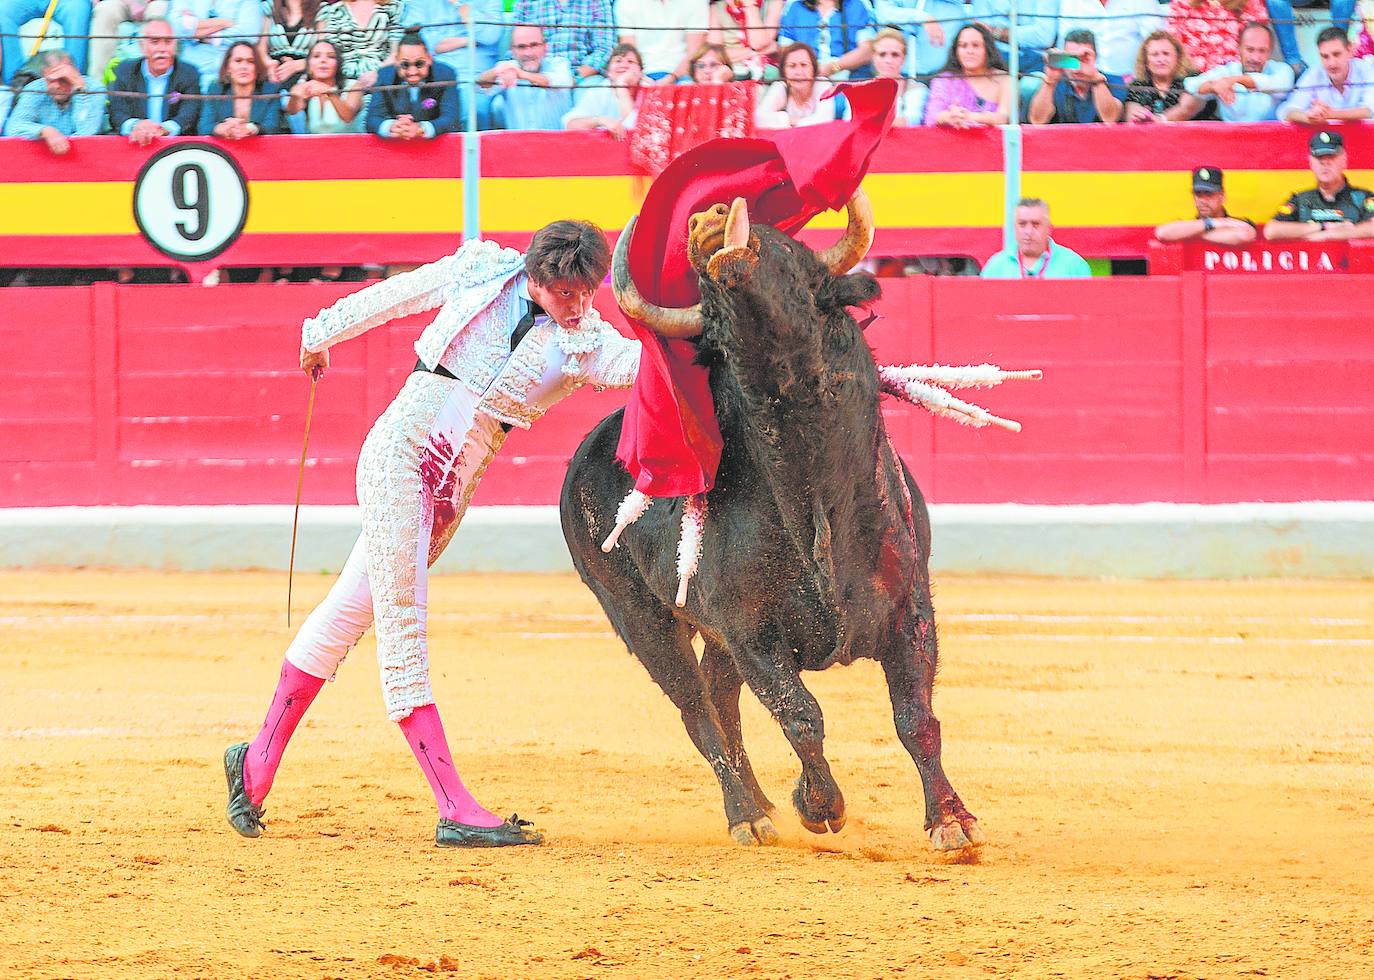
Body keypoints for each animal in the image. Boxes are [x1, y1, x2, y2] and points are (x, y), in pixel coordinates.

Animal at [560, 192, 989, 846]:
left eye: (797, 259)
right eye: (710, 313)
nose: (707, 224)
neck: (813, 492)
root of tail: (589, 447)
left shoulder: (911, 610)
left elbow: (916, 716)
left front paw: (951, 820)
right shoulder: (751, 634)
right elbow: (801, 715)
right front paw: (819, 805)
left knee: (718, 694)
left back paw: (759, 803)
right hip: (638, 618)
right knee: (696, 708)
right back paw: (748, 814)